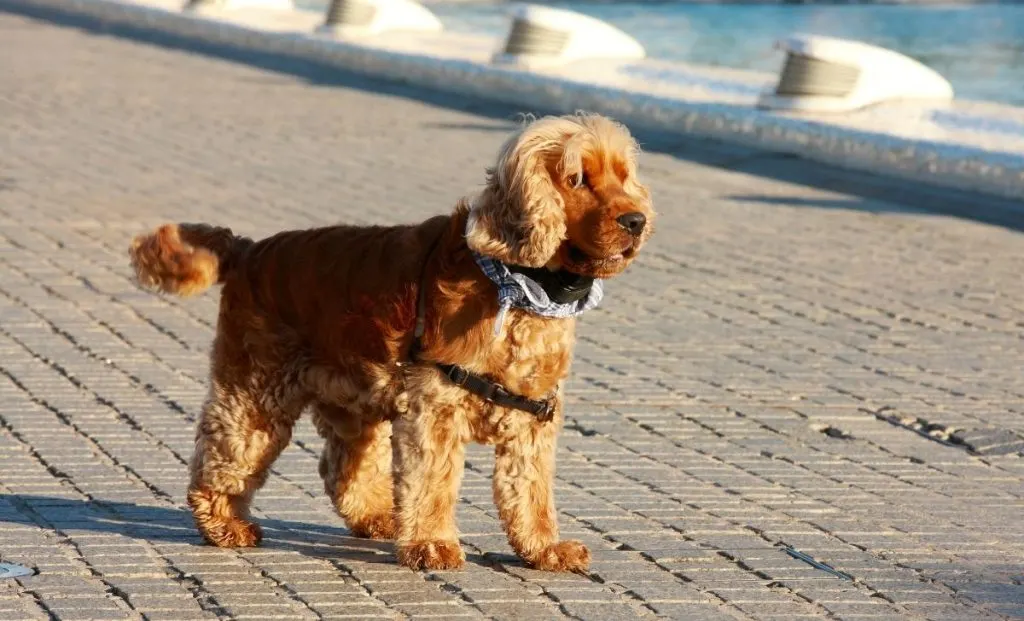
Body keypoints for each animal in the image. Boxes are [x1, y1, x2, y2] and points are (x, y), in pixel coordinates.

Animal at [130, 113, 655, 573]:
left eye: (623, 175)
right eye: (577, 179)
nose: (636, 221)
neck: (518, 285)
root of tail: (248, 250)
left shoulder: (531, 417)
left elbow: (532, 493)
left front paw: (545, 550)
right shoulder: (435, 408)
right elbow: (433, 482)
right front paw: (432, 544)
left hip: (353, 395)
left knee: (342, 467)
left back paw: (378, 518)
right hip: (255, 391)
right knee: (222, 459)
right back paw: (226, 525)